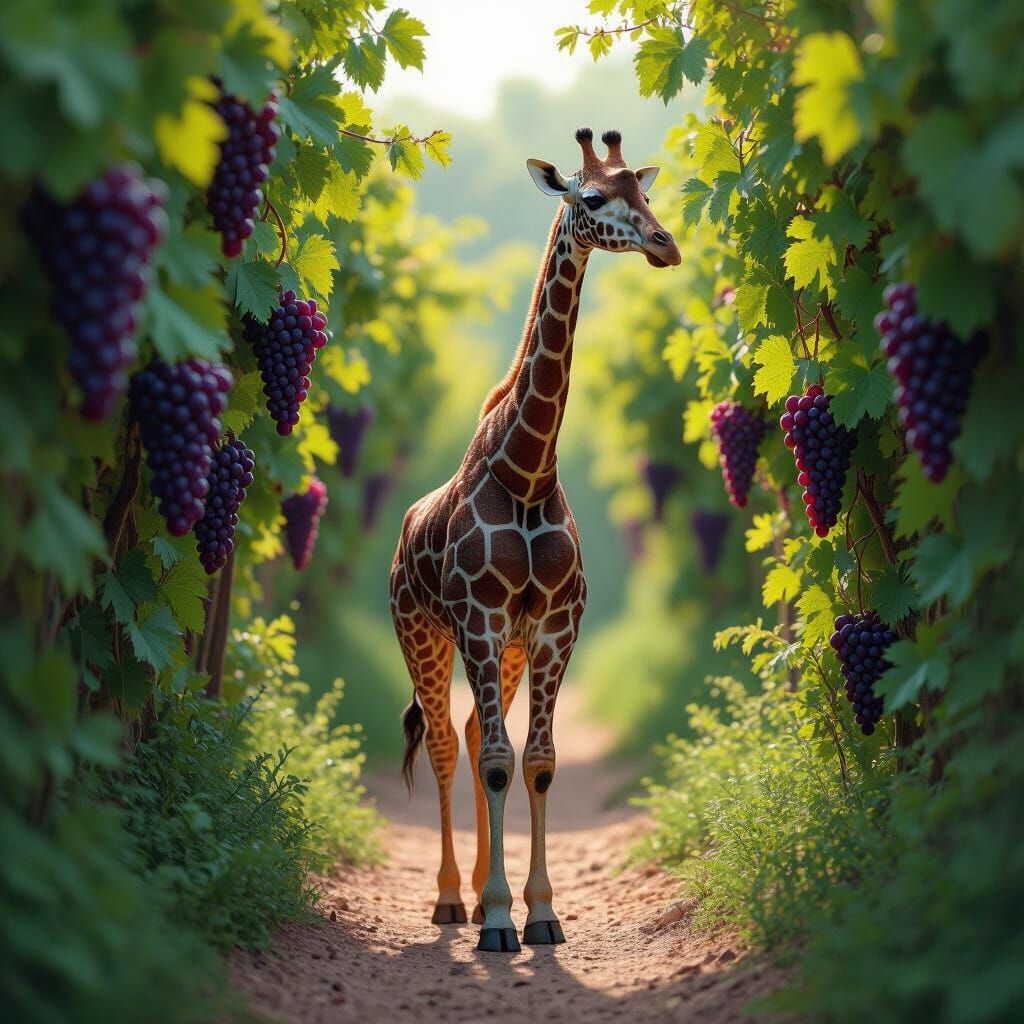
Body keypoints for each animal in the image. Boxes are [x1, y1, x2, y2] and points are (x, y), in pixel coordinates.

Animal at [389, 127, 680, 953]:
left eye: (647, 192)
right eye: (593, 197)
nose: (666, 244)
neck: (526, 471)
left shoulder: (551, 626)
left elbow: (539, 761)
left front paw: (541, 913)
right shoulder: (480, 621)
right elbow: (494, 759)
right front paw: (494, 919)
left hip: (505, 650)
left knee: (465, 731)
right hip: (422, 634)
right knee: (447, 742)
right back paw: (452, 901)